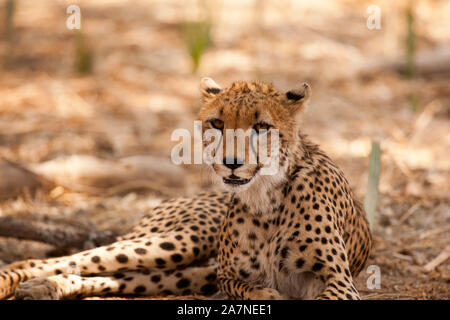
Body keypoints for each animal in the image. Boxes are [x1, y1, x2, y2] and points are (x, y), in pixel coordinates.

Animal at [0, 78, 372, 300]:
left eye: (262, 126)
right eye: (217, 123)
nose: (231, 162)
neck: (266, 197)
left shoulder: (339, 282)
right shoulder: (226, 276)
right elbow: (252, 290)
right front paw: (270, 295)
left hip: (184, 271)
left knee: (122, 276)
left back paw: (43, 287)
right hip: (181, 241)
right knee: (65, 259)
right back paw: (25, 281)